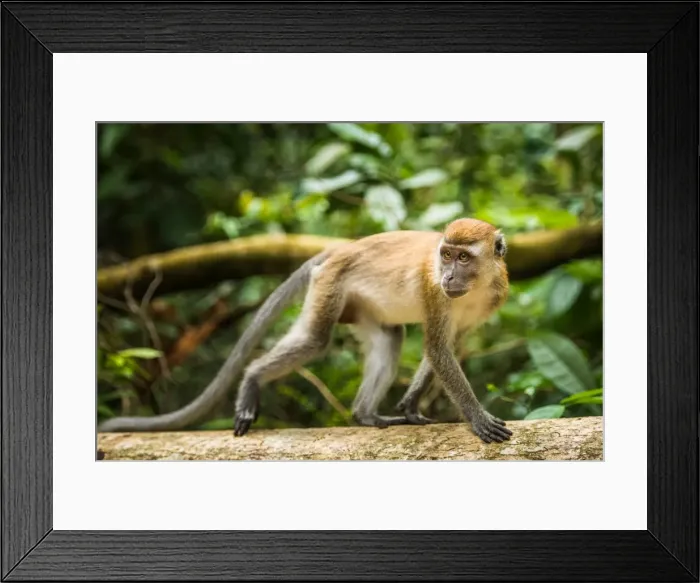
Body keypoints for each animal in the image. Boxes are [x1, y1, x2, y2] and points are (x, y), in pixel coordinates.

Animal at [99, 217, 513, 444]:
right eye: (446, 254)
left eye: (464, 257)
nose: (448, 276)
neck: (475, 286)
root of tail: (340, 250)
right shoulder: (433, 291)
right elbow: (438, 348)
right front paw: (476, 418)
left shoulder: (492, 297)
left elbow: (446, 347)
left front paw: (410, 406)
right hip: (330, 285)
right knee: (315, 339)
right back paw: (252, 379)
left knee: (388, 337)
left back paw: (366, 415)